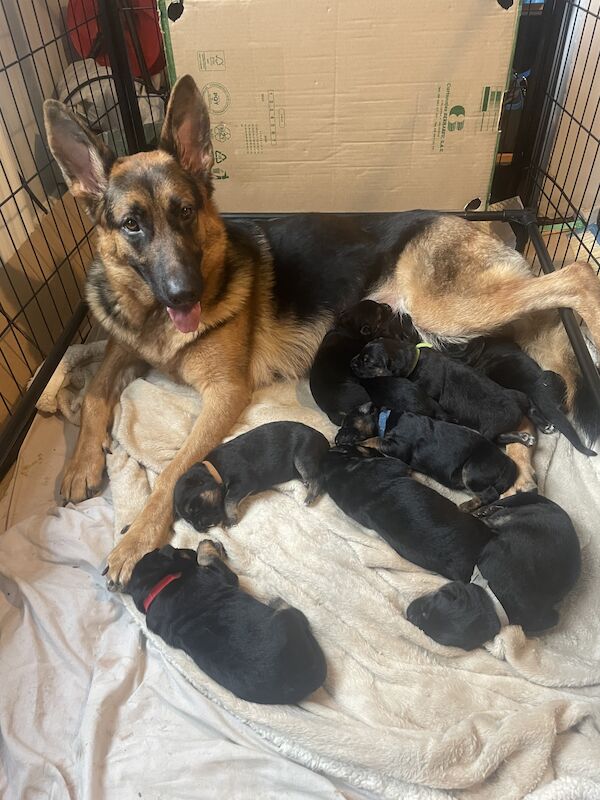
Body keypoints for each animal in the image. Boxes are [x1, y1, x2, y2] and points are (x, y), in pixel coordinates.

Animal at [175, 422, 328, 536]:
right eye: (188, 521)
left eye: (194, 508)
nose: (200, 529)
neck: (215, 469)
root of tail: (323, 439)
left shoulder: (244, 481)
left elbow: (227, 500)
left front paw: (230, 520)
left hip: (303, 455)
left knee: (318, 477)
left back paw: (310, 497)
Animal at [336, 404, 516, 510]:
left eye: (347, 425)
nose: (336, 439)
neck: (384, 420)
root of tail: (507, 464)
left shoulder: (399, 446)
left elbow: (374, 439)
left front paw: (358, 442)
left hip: (473, 470)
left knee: (491, 494)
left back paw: (468, 506)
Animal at [352, 334, 544, 440]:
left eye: (367, 362)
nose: (351, 362)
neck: (414, 359)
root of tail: (516, 412)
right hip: (516, 395)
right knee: (530, 404)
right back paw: (540, 426)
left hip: (489, 428)